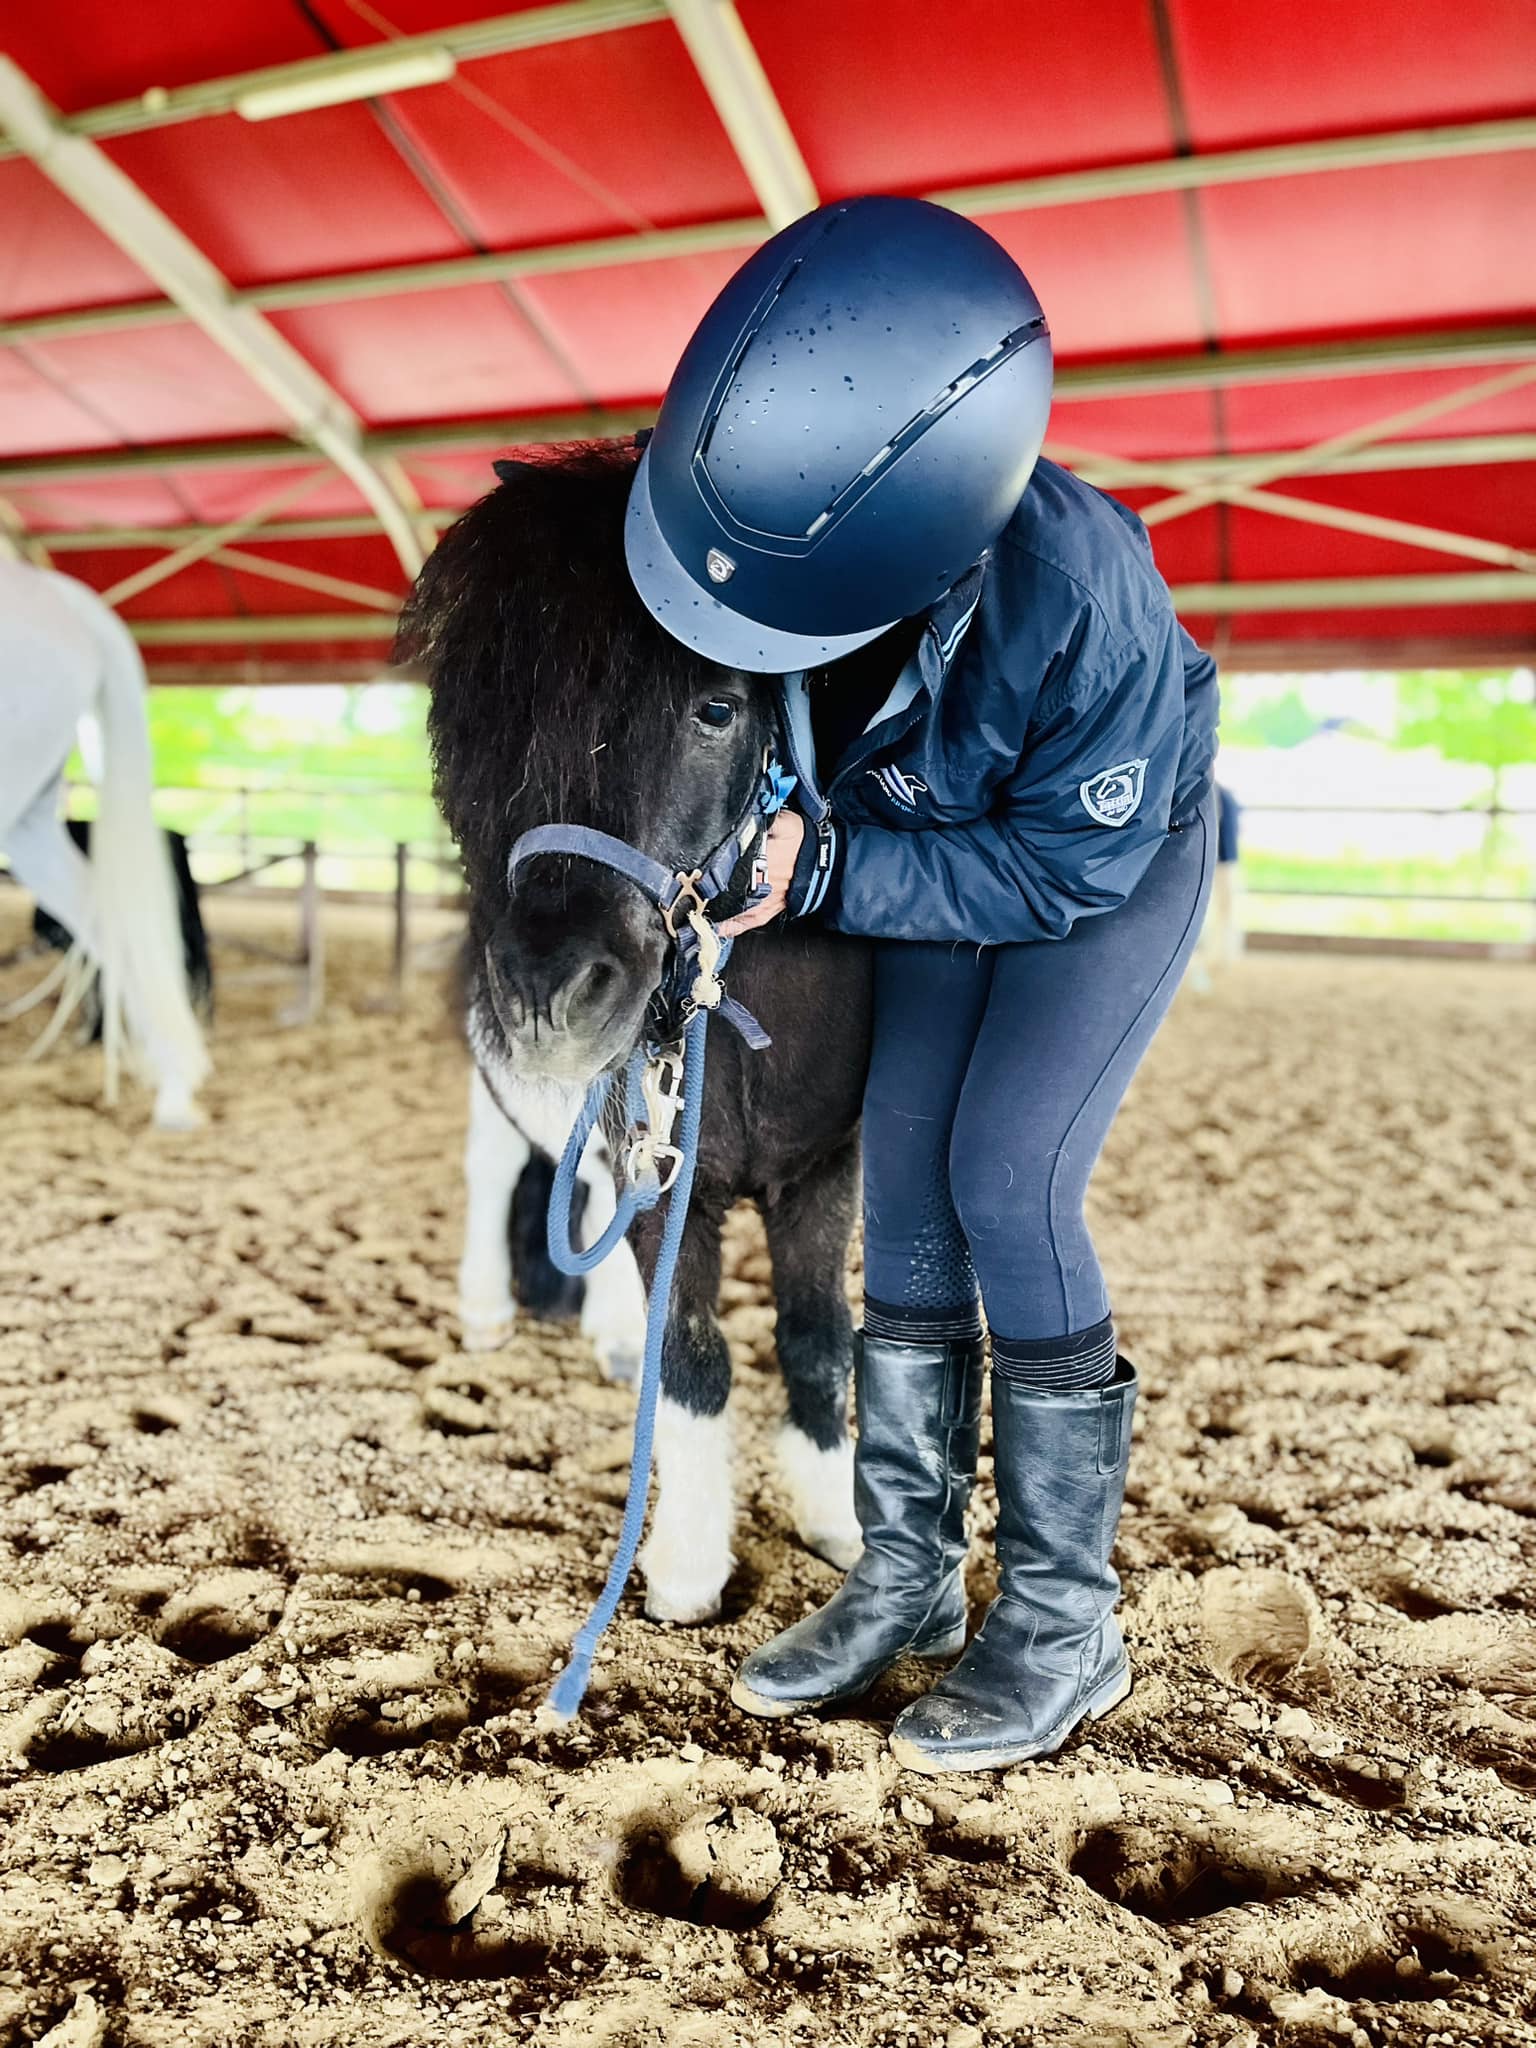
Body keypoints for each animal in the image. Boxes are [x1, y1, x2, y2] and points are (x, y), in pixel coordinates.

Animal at [397, 440, 876, 1622]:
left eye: (717, 708)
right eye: (460, 713)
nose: (549, 997)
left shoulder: (824, 1168)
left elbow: (816, 1341)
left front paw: (837, 1523)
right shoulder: (669, 1178)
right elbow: (694, 1356)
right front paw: (691, 1569)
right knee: (496, 1166)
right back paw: (487, 1309)